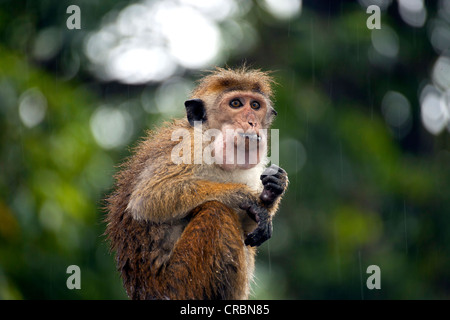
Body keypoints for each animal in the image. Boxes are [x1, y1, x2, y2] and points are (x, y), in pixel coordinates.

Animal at [105, 65, 288, 300]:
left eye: (255, 106)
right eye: (236, 104)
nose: (251, 122)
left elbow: (249, 228)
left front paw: (271, 191)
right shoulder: (189, 147)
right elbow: (147, 199)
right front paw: (245, 197)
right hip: (178, 283)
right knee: (215, 212)